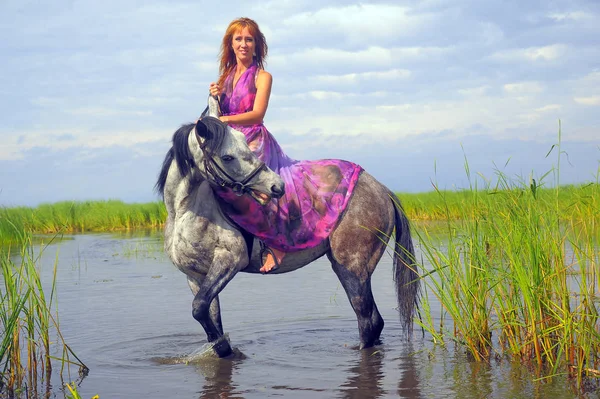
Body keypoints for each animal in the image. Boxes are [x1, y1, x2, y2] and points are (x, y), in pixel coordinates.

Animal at [156, 97, 422, 360]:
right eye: (227, 157)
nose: (277, 186)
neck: (186, 210)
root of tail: (382, 189)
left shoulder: (229, 261)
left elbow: (199, 308)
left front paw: (225, 349)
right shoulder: (195, 276)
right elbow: (208, 315)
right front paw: (223, 348)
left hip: (352, 267)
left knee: (367, 319)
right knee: (374, 322)